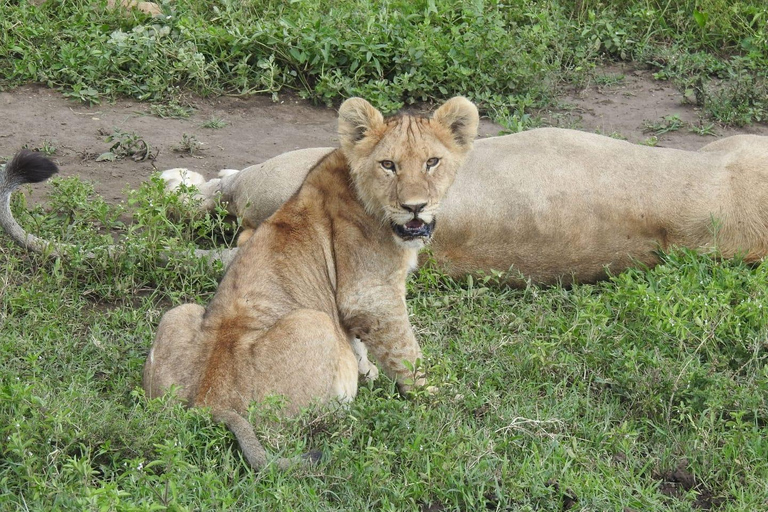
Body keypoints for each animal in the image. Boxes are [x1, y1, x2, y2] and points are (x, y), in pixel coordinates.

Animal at [142, 94, 480, 470]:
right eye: (388, 165)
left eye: (432, 162)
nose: (415, 207)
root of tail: (208, 402)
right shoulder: (370, 293)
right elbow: (405, 351)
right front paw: (435, 395)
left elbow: (360, 340)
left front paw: (369, 369)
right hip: (313, 321)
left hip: (177, 314)